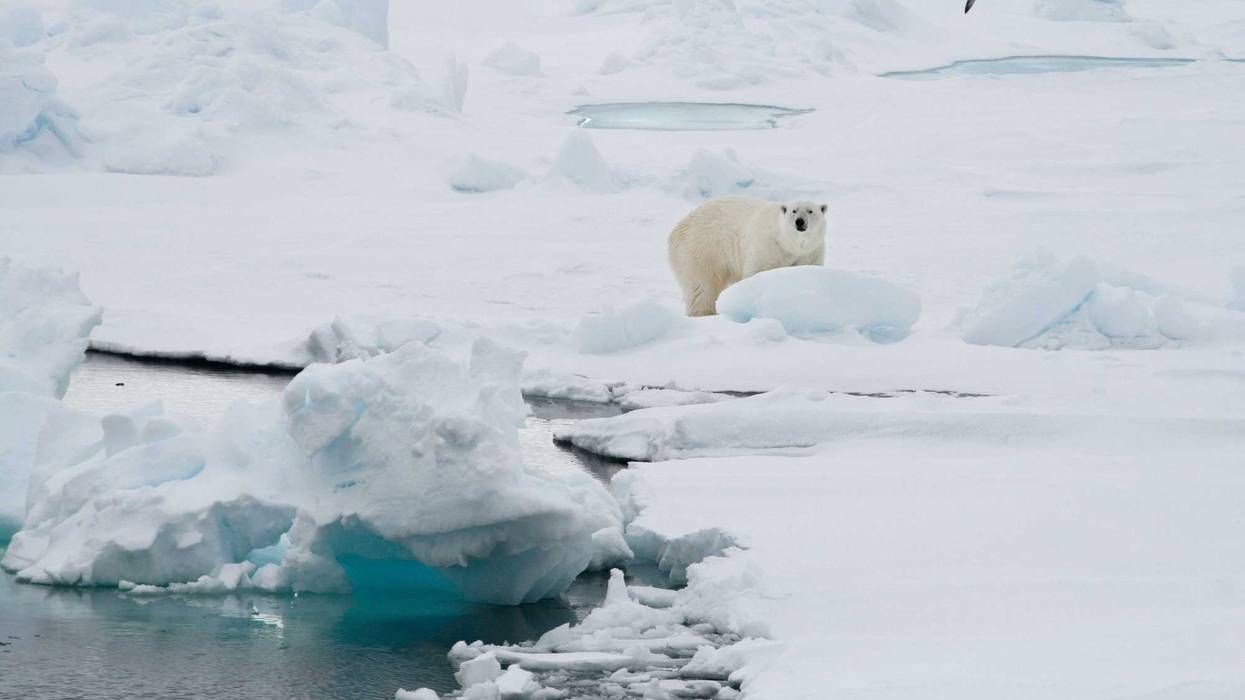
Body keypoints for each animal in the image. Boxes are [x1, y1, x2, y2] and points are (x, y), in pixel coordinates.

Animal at [667, 196, 828, 317]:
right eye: (794, 211)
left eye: (810, 211)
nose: (799, 221)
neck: (786, 242)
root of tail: (677, 228)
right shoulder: (767, 245)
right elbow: (758, 271)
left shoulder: (811, 251)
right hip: (701, 250)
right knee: (701, 287)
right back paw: (704, 313)